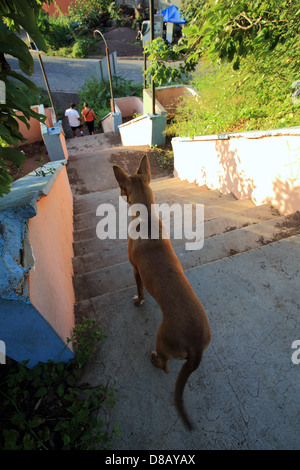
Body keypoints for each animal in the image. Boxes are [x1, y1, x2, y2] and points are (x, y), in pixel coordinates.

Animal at [112, 154, 211, 430]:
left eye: (123, 188)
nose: (119, 194)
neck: (145, 218)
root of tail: (196, 347)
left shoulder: (135, 269)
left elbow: (139, 290)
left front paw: (139, 300)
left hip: (162, 339)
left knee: (166, 367)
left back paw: (155, 360)